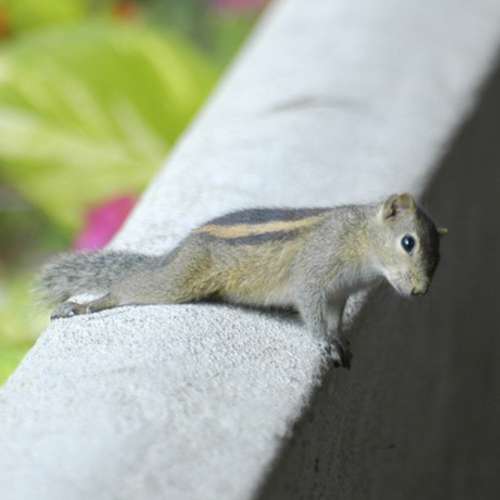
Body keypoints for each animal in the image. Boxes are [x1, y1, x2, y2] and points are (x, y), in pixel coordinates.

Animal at [39, 193, 446, 369]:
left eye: (439, 257)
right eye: (408, 242)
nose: (419, 290)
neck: (360, 239)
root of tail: (181, 248)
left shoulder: (339, 292)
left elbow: (333, 317)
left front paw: (340, 339)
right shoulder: (313, 276)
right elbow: (312, 314)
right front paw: (324, 343)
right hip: (180, 282)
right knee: (130, 286)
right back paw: (85, 305)